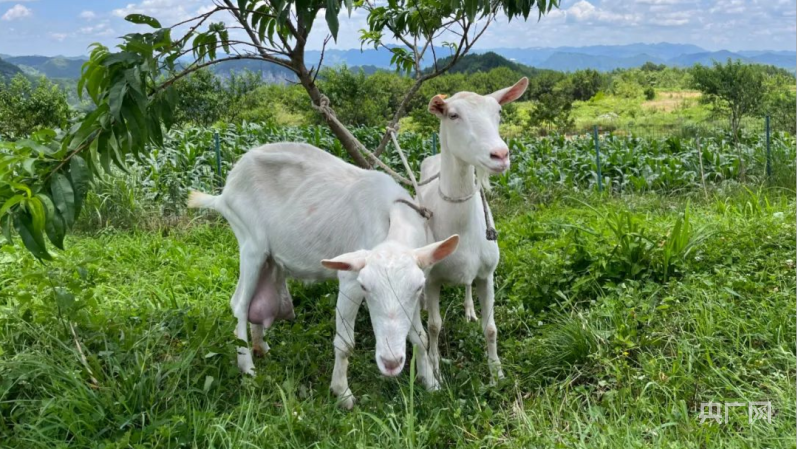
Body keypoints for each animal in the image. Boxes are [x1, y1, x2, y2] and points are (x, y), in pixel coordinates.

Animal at [188, 142, 460, 408]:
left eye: (418, 287)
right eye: (365, 287)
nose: (391, 362)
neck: (393, 216)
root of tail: (225, 191)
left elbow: (420, 337)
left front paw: (430, 382)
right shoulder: (349, 282)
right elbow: (345, 343)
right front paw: (343, 393)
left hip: (266, 256)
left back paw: (260, 346)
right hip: (249, 241)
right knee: (240, 304)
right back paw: (247, 368)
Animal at [418, 79, 532, 380]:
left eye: (499, 112)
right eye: (453, 115)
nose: (500, 155)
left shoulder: (487, 274)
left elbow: (490, 327)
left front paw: (497, 373)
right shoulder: (433, 279)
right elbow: (434, 326)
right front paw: (435, 368)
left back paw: (469, 310)